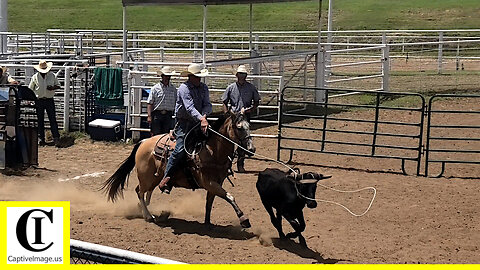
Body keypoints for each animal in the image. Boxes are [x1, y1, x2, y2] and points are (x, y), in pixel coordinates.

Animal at [102, 111, 255, 228]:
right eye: (239, 127)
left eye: (249, 126)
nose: (252, 149)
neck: (212, 150)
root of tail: (143, 142)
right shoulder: (209, 182)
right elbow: (229, 196)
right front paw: (244, 219)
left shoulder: (217, 182)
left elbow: (209, 202)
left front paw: (207, 222)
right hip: (146, 177)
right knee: (139, 191)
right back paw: (148, 216)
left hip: (156, 177)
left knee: (147, 192)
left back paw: (145, 208)